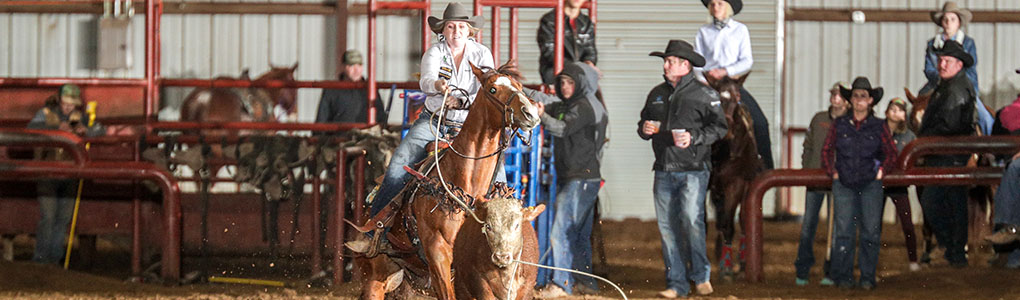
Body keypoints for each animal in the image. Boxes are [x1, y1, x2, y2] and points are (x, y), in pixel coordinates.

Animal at [350, 60, 542, 300]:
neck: (467, 188)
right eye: (493, 89)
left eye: (519, 86)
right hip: (375, 277)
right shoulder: (438, 252)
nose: (530, 113)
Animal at [705, 71, 762, 279]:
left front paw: (727, 267)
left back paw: (743, 262)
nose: (726, 127)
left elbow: (730, 225)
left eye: (736, 96)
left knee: (743, 221)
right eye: (714, 95)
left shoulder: (736, 185)